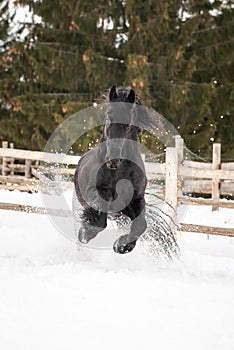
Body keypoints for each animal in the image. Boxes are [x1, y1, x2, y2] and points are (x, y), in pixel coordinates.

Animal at [74, 86, 147, 253]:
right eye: (108, 117)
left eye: (128, 123)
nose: (113, 159)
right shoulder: (99, 191)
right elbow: (100, 221)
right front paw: (85, 233)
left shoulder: (137, 199)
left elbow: (141, 225)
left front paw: (123, 246)